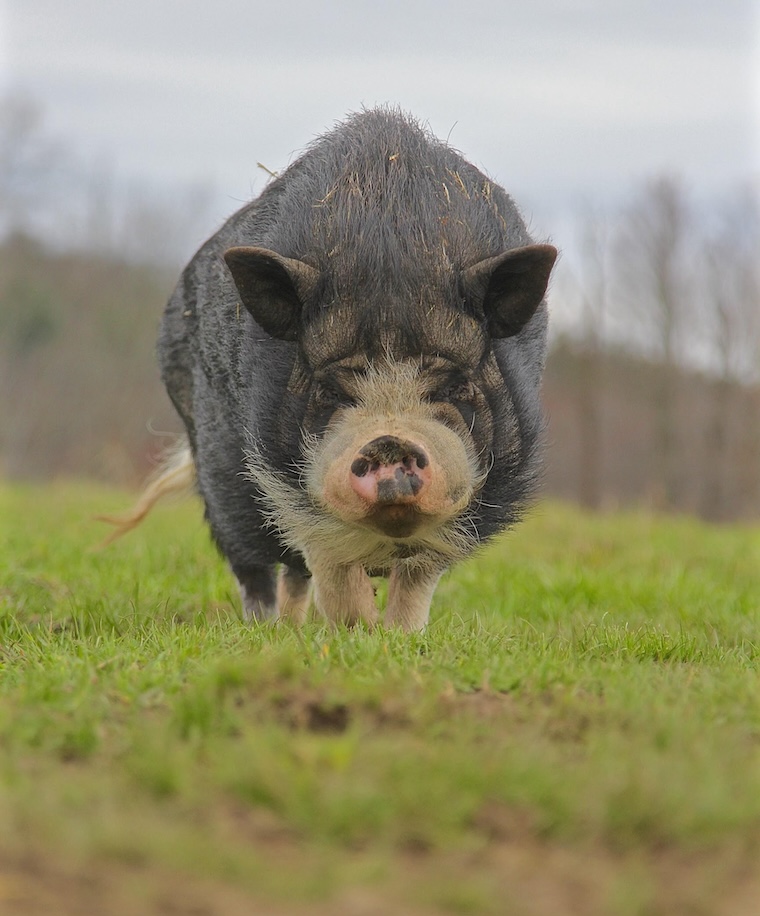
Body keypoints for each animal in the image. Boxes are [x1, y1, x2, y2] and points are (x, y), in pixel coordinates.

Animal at [113, 108, 557, 631]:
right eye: (330, 392)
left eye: (454, 387)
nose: (389, 442)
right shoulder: (287, 486)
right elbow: (331, 568)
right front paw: (357, 630)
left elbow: (416, 584)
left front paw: (398, 636)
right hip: (216, 463)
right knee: (257, 565)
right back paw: (269, 627)